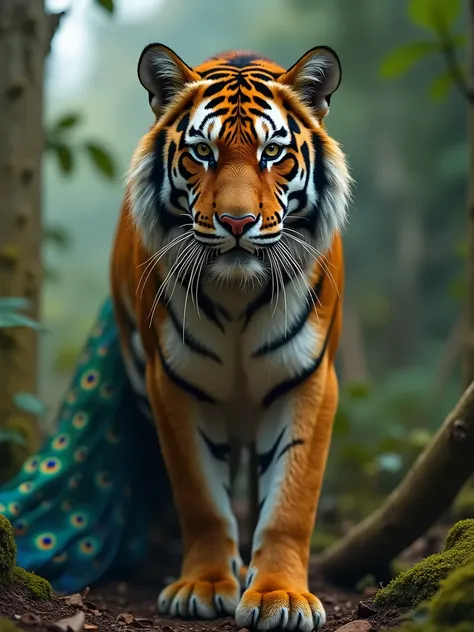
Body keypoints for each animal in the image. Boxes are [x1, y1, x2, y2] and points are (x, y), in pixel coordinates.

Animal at [109, 40, 350, 632]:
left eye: (272, 153)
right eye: (202, 153)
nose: (238, 223)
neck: (239, 295)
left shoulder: (309, 380)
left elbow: (290, 501)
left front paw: (280, 595)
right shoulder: (172, 383)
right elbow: (200, 496)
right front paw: (204, 584)